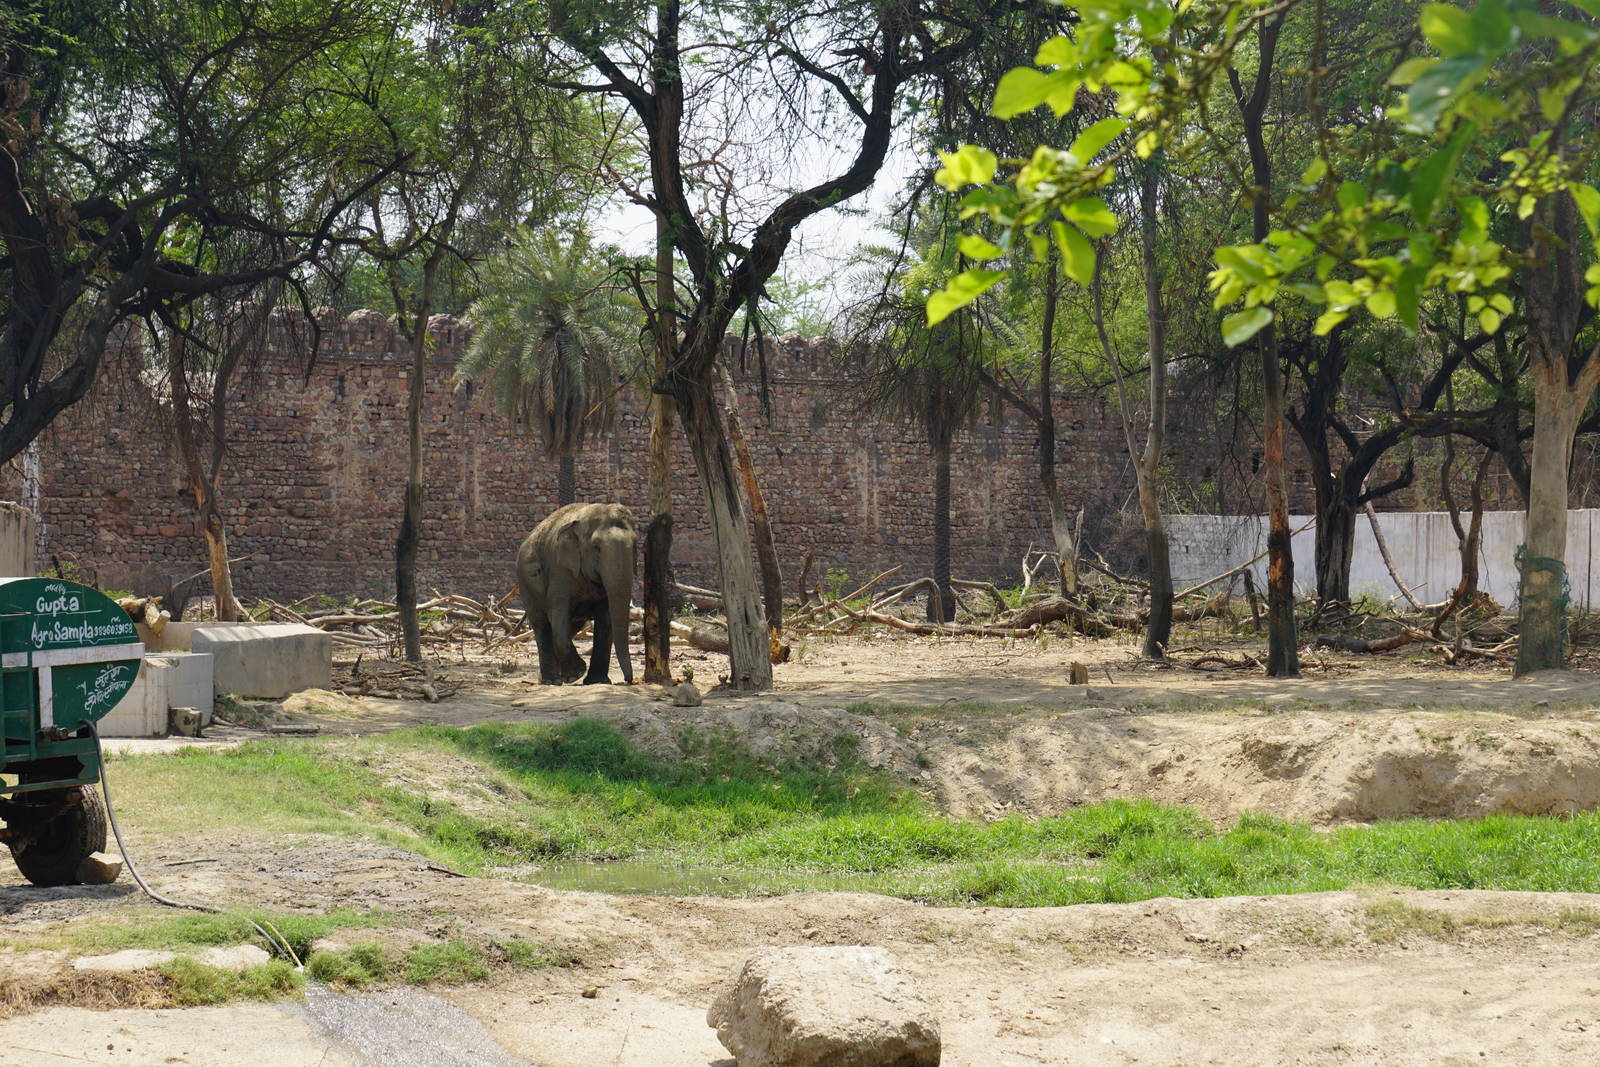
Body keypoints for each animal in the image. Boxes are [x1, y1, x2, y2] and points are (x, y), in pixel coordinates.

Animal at [516, 502, 637, 685]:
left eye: (636, 545)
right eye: (596, 547)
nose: (628, 680)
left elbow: (606, 617)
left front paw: (597, 681)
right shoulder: (560, 569)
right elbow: (557, 611)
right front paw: (576, 674)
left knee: (571, 625)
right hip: (525, 582)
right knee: (541, 622)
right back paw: (551, 681)